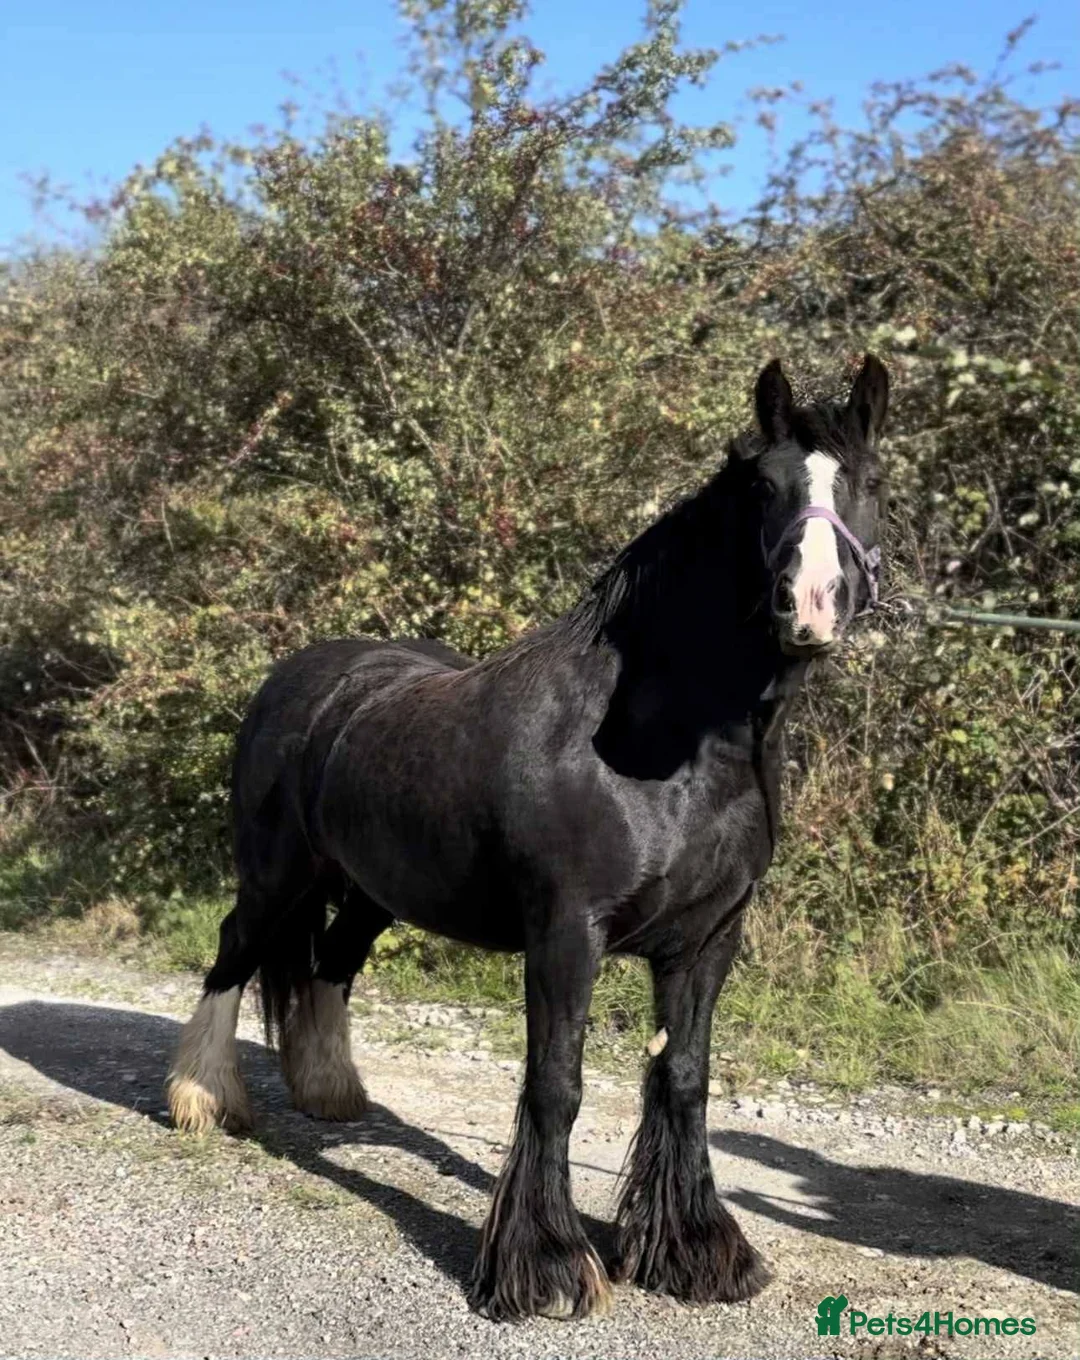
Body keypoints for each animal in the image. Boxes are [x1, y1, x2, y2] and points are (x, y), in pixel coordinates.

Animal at [166, 354, 890, 1321]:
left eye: (869, 483)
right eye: (762, 487)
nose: (809, 605)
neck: (661, 750)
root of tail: (305, 676)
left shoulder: (707, 941)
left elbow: (684, 1080)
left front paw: (695, 1253)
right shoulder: (565, 934)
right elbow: (556, 1085)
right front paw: (545, 1266)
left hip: (371, 891)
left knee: (329, 968)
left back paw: (331, 1095)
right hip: (276, 875)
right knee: (233, 955)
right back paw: (203, 1101)